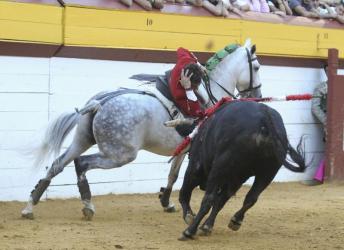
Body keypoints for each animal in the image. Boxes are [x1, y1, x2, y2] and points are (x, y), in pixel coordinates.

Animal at [21, 39, 262, 219]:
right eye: (257, 67)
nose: (257, 94)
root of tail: (100, 102)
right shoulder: (194, 152)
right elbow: (181, 177)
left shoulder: (182, 150)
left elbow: (173, 175)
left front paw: (166, 201)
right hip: (121, 154)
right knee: (82, 163)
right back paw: (87, 205)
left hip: (82, 139)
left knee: (57, 165)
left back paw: (30, 206)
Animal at [177, 100, 306, 239]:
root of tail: (264, 116)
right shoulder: (236, 179)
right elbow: (221, 201)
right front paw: (207, 226)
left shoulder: (195, 167)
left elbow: (185, 193)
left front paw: (190, 217)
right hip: (268, 172)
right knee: (251, 198)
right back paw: (235, 220)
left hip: (220, 167)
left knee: (208, 198)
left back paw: (189, 231)